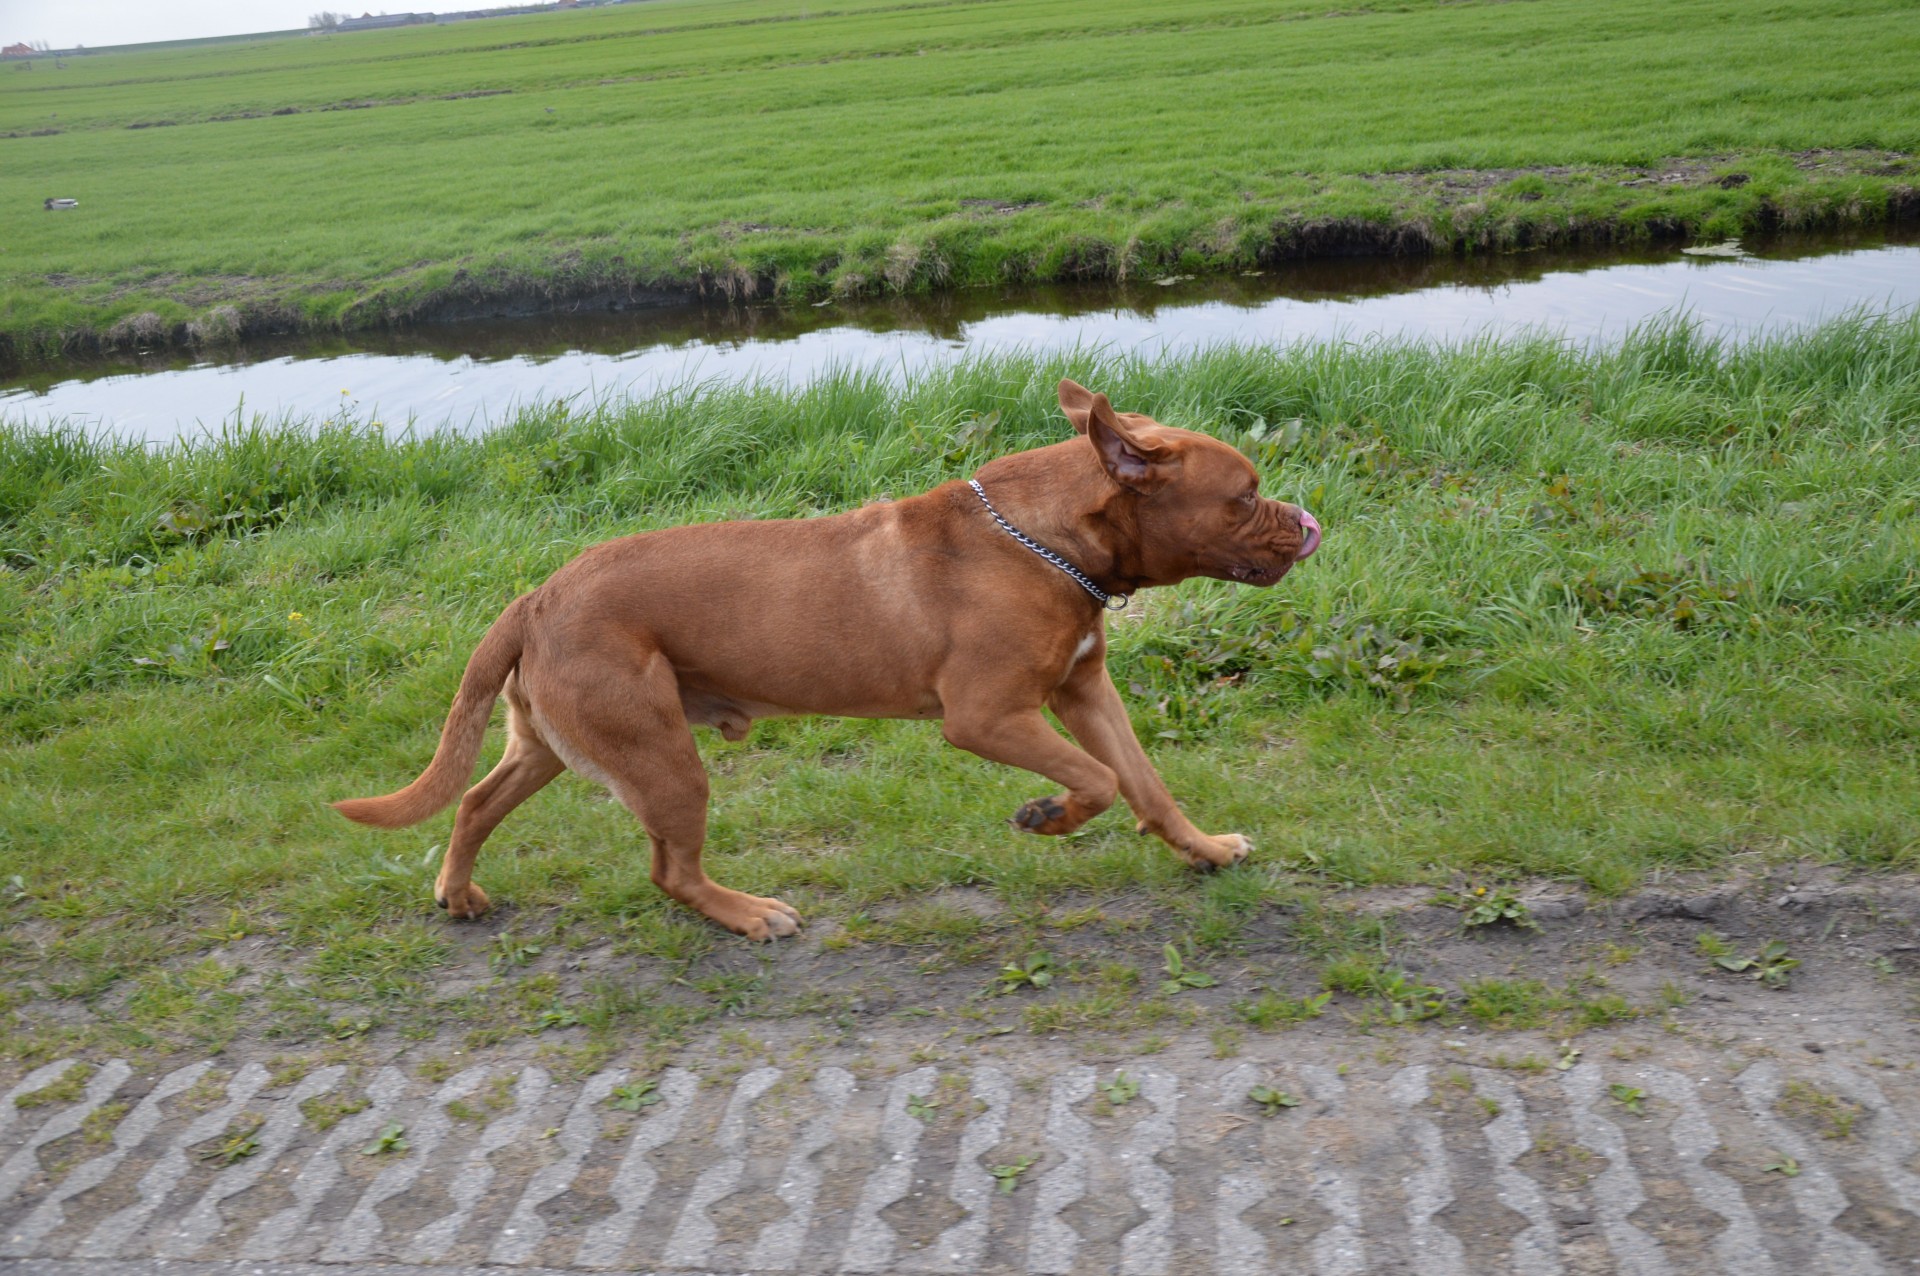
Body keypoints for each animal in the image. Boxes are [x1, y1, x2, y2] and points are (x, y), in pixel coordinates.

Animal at [334, 378, 1320, 936]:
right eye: (1244, 497)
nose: (1309, 522)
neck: (1049, 537)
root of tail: (535, 597)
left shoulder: (1084, 691)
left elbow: (1144, 782)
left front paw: (1202, 849)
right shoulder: (990, 718)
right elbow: (1100, 781)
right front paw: (1049, 816)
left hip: (554, 744)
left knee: (473, 802)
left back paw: (458, 893)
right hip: (662, 760)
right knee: (670, 870)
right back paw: (748, 915)